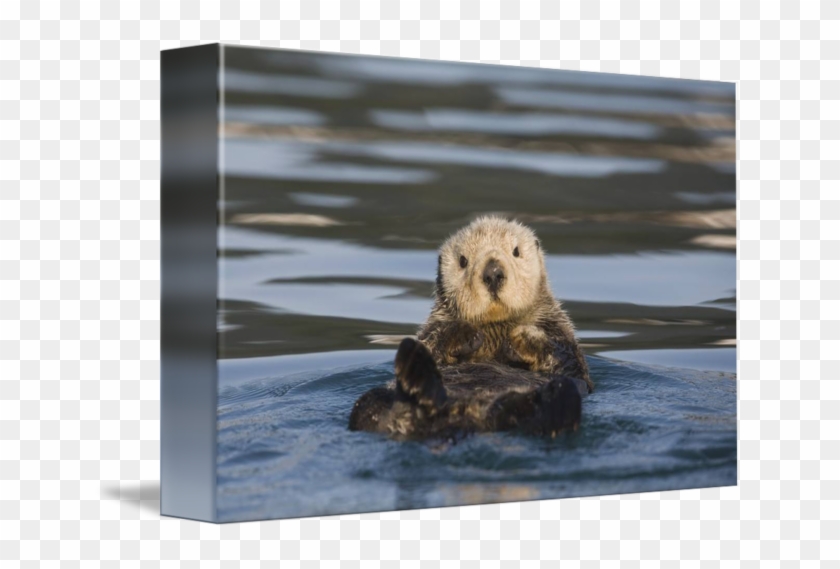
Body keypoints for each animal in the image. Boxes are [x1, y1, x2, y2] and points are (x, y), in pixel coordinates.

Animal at [348, 216, 592, 440]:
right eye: (463, 261)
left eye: (516, 251)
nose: (493, 273)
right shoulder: (432, 328)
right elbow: (433, 341)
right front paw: (464, 333)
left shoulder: (561, 335)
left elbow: (566, 359)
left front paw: (522, 339)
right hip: (370, 402)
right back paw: (417, 368)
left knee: (558, 400)